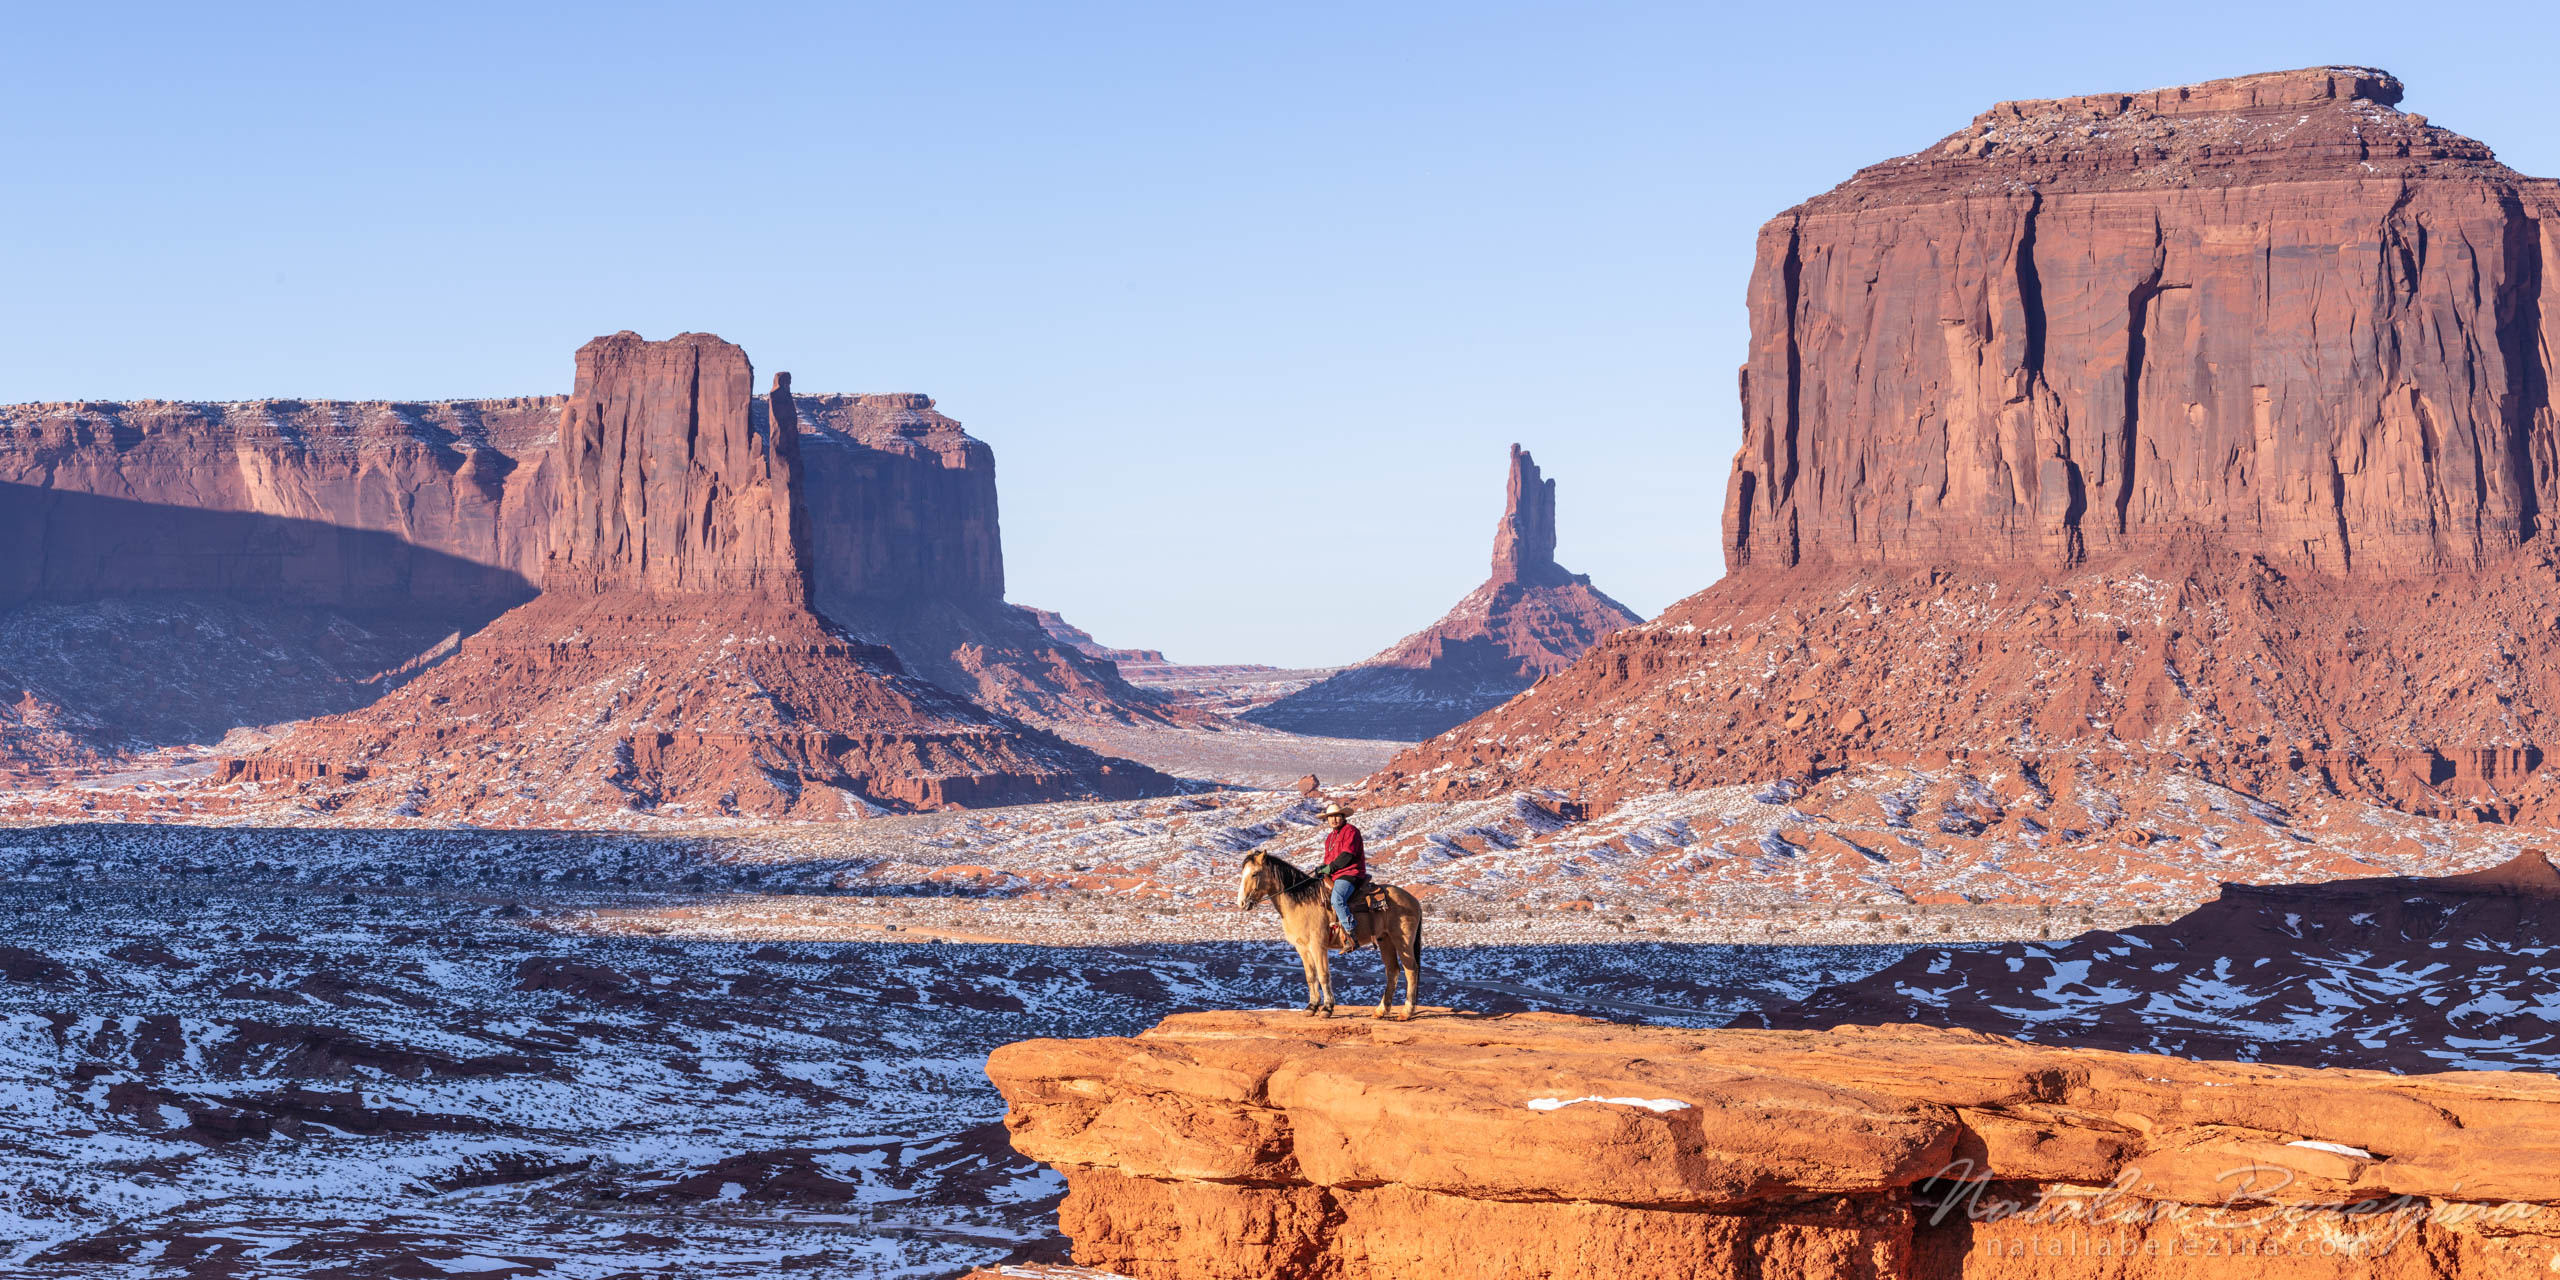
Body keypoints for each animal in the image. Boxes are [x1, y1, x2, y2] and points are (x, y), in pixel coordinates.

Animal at [1233, 849, 1423, 1018]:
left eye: (1255, 874)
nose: (1241, 903)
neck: (1302, 901)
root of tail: (1414, 900)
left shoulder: (1318, 946)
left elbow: (1324, 975)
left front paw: (1327, 1008)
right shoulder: (1302, 948)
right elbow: (1311, 976)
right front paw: (1311, 1007)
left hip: (1402, 941)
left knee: (1411, 970)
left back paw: (1406, 1012)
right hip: (1385, 940)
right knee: (1392, 971)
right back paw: (1381, 1011)